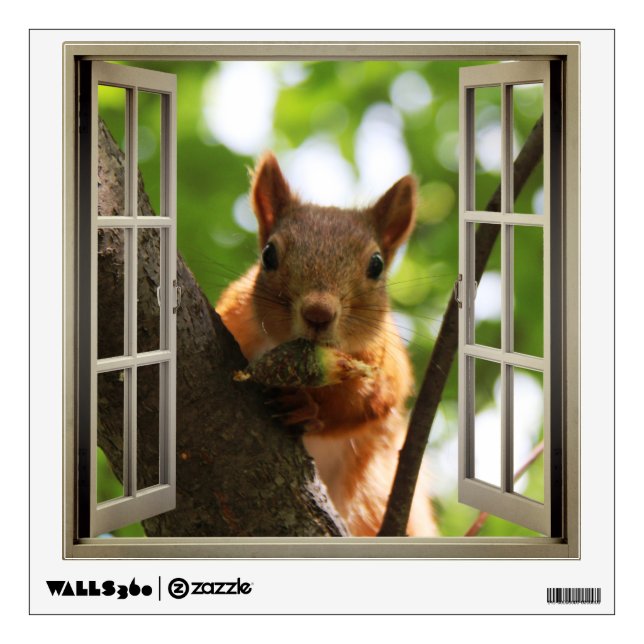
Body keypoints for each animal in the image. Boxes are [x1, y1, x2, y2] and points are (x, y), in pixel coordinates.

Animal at [216, 152, 436, 536]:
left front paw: (305, 406)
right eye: (268, 254)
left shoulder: (386, 362)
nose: (318, 313)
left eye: (376, 264)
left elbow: (368, 401)